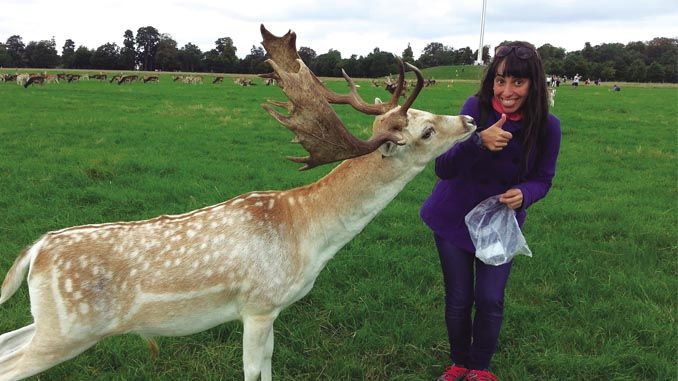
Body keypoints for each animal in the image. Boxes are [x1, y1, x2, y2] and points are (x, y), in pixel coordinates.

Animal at [0, 24, 478, 380]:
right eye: (426, 132)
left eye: (428, 116)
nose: (469, 119)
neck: (308, 237)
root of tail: (36, 250)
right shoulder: (258, 304)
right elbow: (252, 371)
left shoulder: (273, 310)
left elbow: (267, 367)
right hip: (68, 331)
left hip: (54, 324)